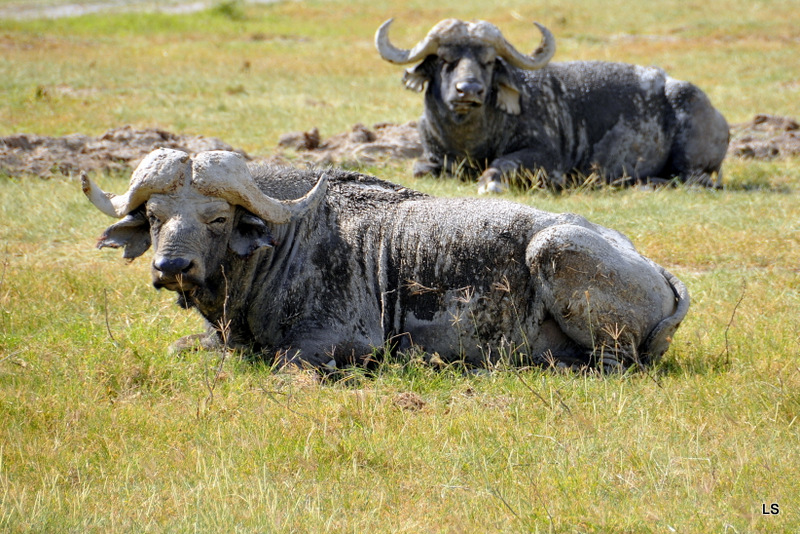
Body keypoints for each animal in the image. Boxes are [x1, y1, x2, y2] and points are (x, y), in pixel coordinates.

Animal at [84, 149, 692, 370]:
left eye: (217, 219)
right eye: (156, 216)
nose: (171, 269)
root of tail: (654, 268)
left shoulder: (332, 343)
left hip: (555, 251)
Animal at [376, 18, 732, 195]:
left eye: (488, 61)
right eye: (445, 60)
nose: (469, 90)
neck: (470, 140)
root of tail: (720, 118)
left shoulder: (544, 155)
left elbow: (503, 164)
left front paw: (492, 182)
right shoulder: (431, 156)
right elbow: (420, 169)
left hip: (692, 159)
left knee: (694, 181)